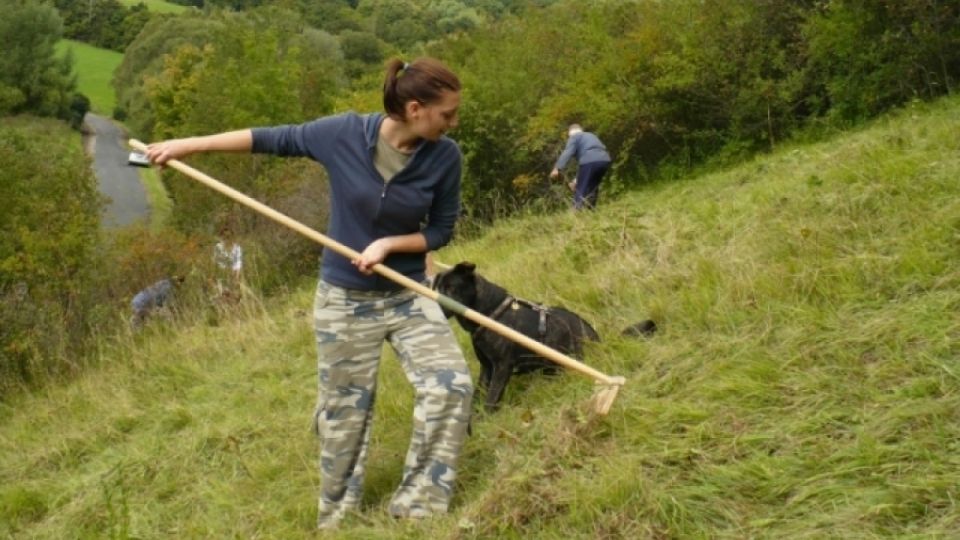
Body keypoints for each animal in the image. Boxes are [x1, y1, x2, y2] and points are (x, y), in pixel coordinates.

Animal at [434, 264, 600, 412]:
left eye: (451, 288)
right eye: (437, 289)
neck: (489, 312)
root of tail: (598, 339)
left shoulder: (502, 366)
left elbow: (491, 398)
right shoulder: (486, 366)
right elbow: (477, 395)